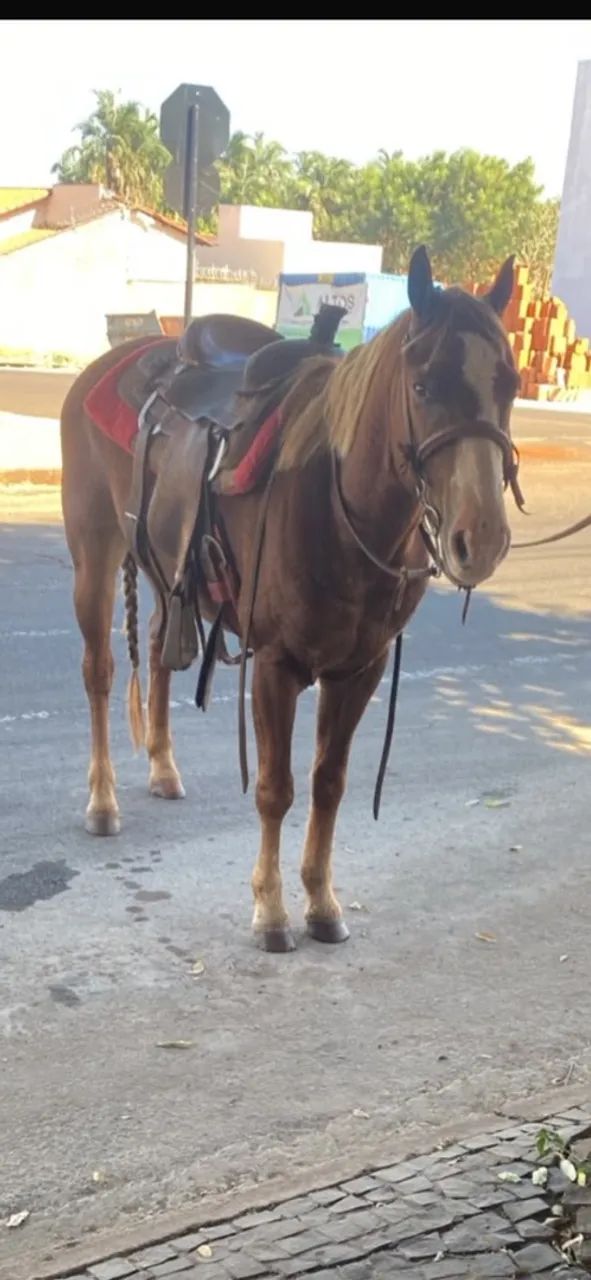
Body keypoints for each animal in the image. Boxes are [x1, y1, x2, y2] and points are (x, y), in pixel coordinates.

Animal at [61, 247, 521, 952]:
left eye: (511, 384)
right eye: (422, 386)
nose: (483, 538)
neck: (339, 505)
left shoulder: (360, 670)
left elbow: (328, 783)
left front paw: (322, 900)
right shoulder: (275, 667)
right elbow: (275, 789)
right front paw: (272, 910)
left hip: (168, 571)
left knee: (163, 653)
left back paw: (163, 768)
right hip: (95, 552)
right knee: (99, 673)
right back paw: (103, 800)